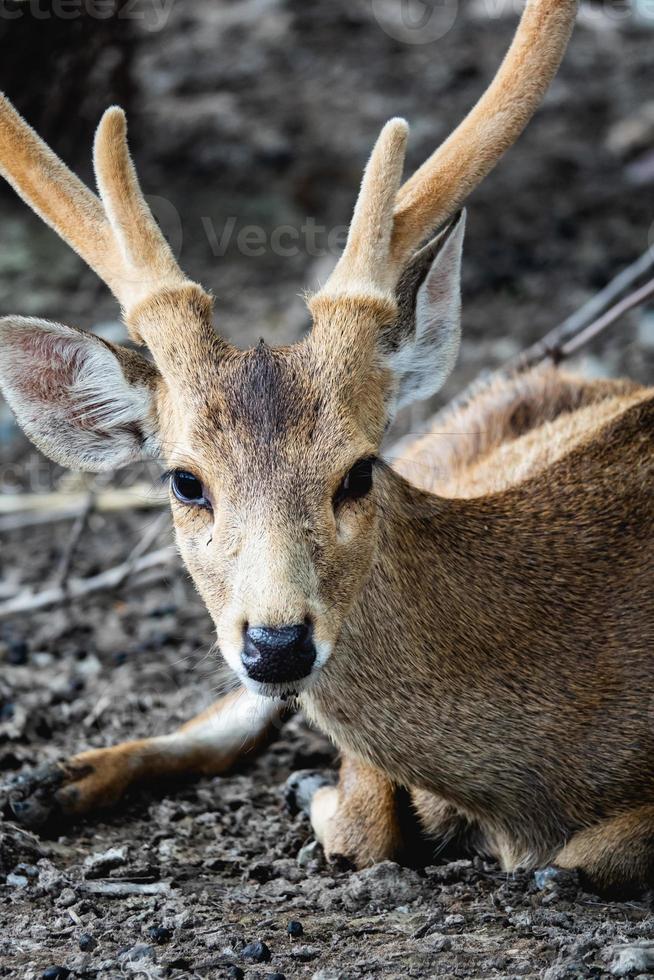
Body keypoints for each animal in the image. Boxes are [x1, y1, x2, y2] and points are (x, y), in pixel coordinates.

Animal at [1, 0, 654, 896]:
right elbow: (367, 819)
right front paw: (321, 787)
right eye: (184, 481)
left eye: (359, 471)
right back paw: (45, 784)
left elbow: (583, 858)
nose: (278, 643)